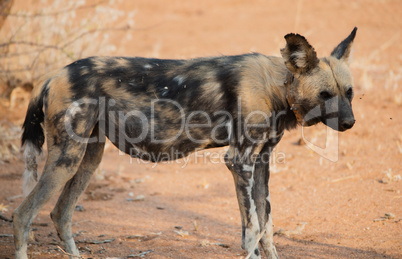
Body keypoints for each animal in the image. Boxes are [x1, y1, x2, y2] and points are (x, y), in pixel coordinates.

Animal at [14, 27, 356, 258]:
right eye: (325, 94)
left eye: (349, 92)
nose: (350, 123)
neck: (279, 85)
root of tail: (53, 74)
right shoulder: (239, 162)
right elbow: (252, 231)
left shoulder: (260, 165)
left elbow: (267, 228)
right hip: (66, 160)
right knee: (22, 216)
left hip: (87, 159)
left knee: (60, 213)